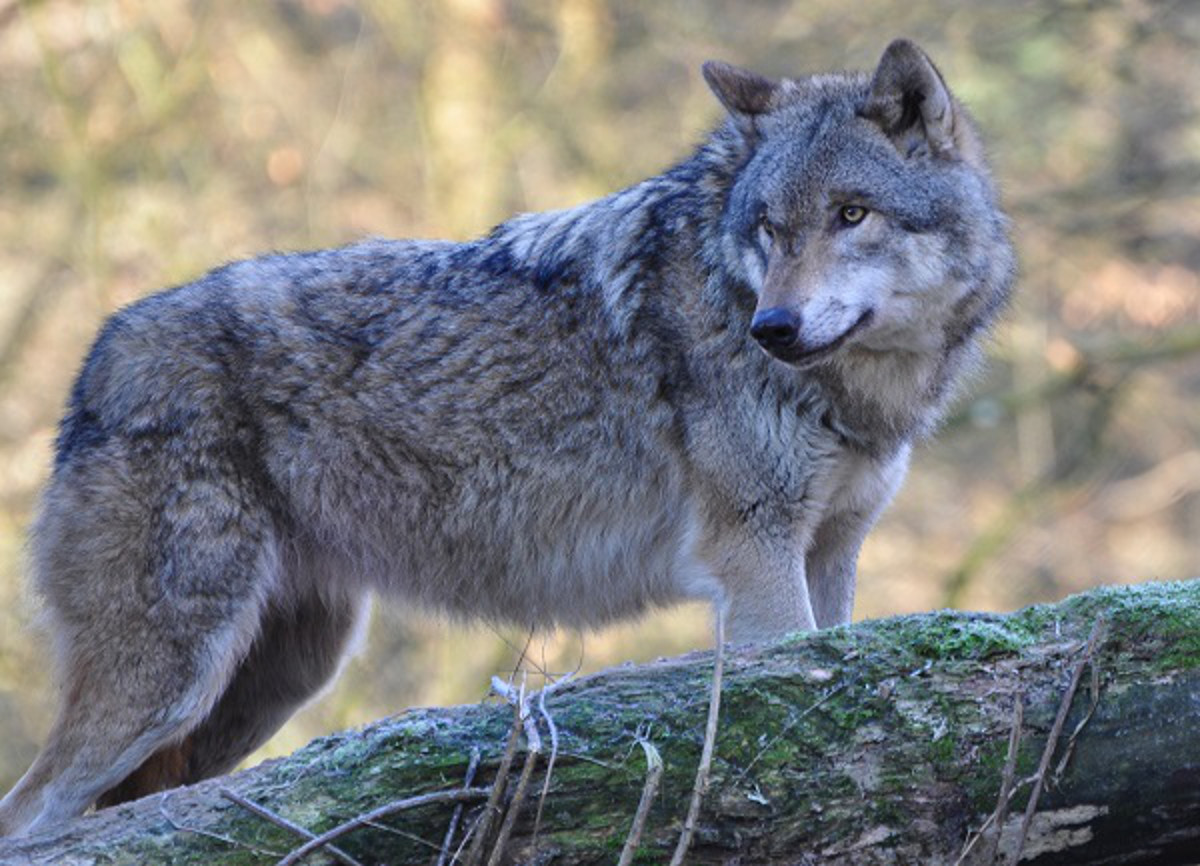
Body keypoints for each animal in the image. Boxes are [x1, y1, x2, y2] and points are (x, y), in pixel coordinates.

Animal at [0, 40, 1012, 834]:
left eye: (852, 213)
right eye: (768, 228)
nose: (774, 327)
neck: (865, 394)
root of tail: (97, 358)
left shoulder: (831, 555)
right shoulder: (755, 557)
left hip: (268, 685)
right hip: (171, 680)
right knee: (34, 813)